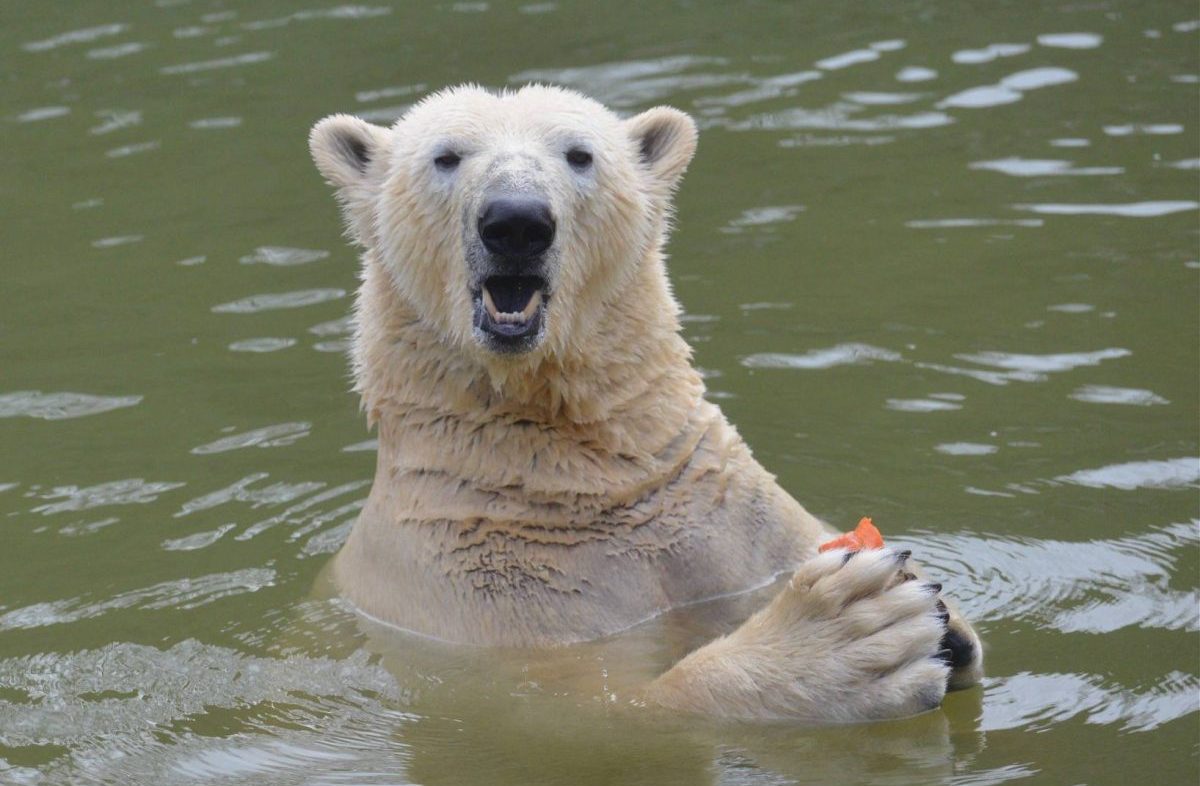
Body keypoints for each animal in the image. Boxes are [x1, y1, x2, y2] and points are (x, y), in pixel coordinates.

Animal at [309, 82, 984, 724]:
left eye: (579, 155)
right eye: (446, 157)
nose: (517, 221)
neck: (584, 475)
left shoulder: (720, 518)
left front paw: (948, 622)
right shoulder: (476, 594)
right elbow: (589, 710)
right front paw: (850, 639)